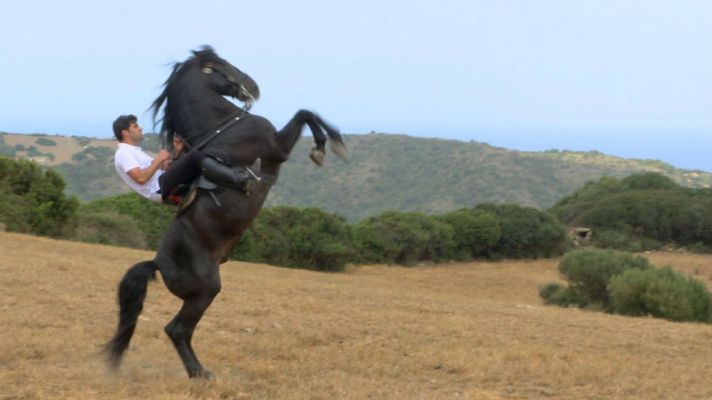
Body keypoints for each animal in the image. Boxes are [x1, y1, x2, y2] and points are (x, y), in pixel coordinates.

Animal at [104, 46, 347, 378]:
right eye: (220, 65)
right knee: (177, 329)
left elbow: (307, 112)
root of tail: (157, 263)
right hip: (206, 290)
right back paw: (199, 374)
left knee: (179, 331)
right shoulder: (277, 147)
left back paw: (199, 371)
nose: (253, 86)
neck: (221, 127)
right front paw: (326, 146)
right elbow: (304, 113)